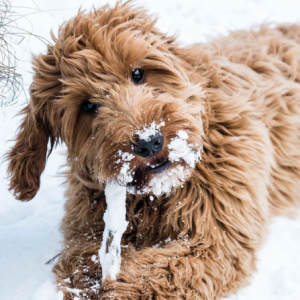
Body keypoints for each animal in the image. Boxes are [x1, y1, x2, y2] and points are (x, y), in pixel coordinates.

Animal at [5, 1, 300, 298]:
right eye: (87, 106)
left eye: (138, 73)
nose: (148, 142)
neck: (155, 196)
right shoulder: (86, 229)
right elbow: (79, 259)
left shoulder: (214, 236)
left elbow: (164, 271)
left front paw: (118, 289)